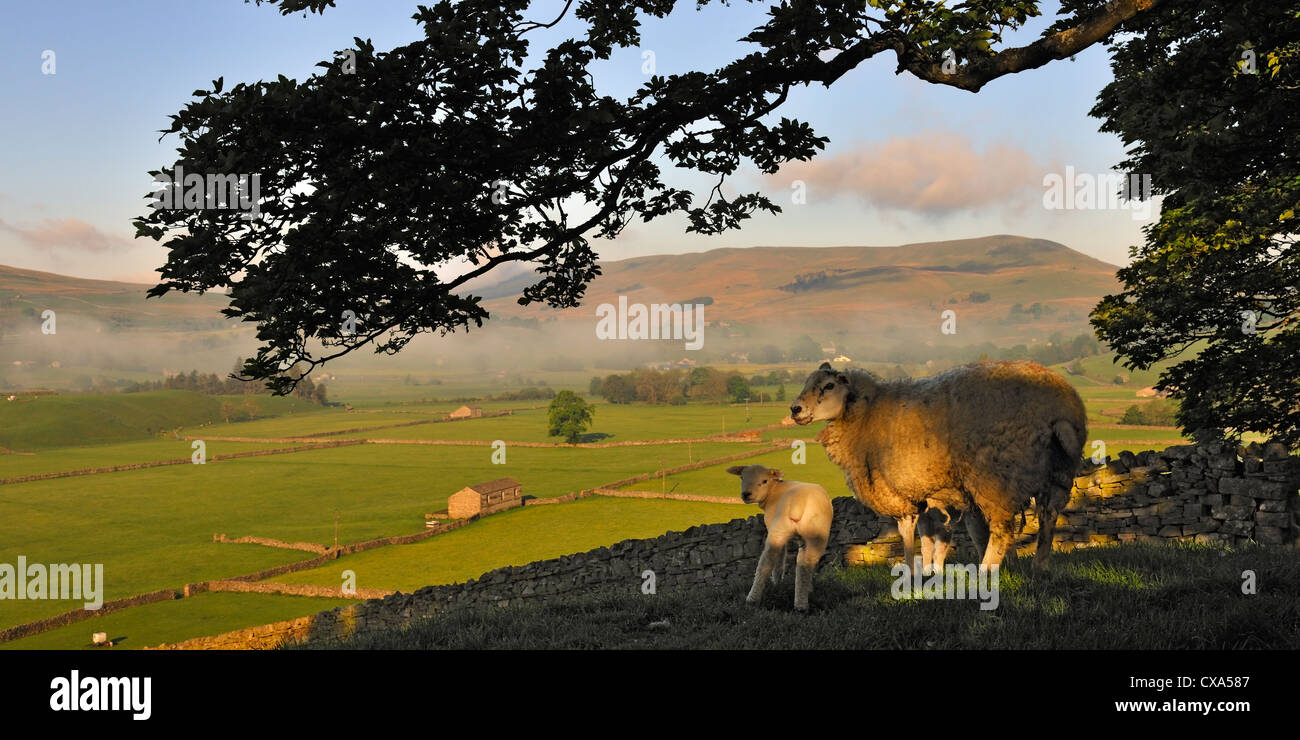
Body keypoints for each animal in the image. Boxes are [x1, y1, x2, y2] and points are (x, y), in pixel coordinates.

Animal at [728, 462, 837, 611]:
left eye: (764, 481)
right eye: (742, 478)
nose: (746, 494)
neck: (773, 491)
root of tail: (799, 503)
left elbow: (779, 561)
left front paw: (777, 583)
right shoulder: (803, 539)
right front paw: (809, 588)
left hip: (779, 529)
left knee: (767, 561)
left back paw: (752, 599)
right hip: (817, 533)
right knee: (806, 564)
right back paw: (801, 604)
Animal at [790, 361, 1086, 569]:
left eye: (829, 386)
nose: (795, 409)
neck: (866, 414)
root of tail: (1058, 409)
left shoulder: (901, 497)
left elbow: (907, 537)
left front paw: (910, 573)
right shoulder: (925, 495)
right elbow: (928, 539)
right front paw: (928, 572)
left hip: (996, 477)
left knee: (1002, 531)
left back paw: (984, 574)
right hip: (1057, 473)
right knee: (1048, 517)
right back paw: (1039, 568)